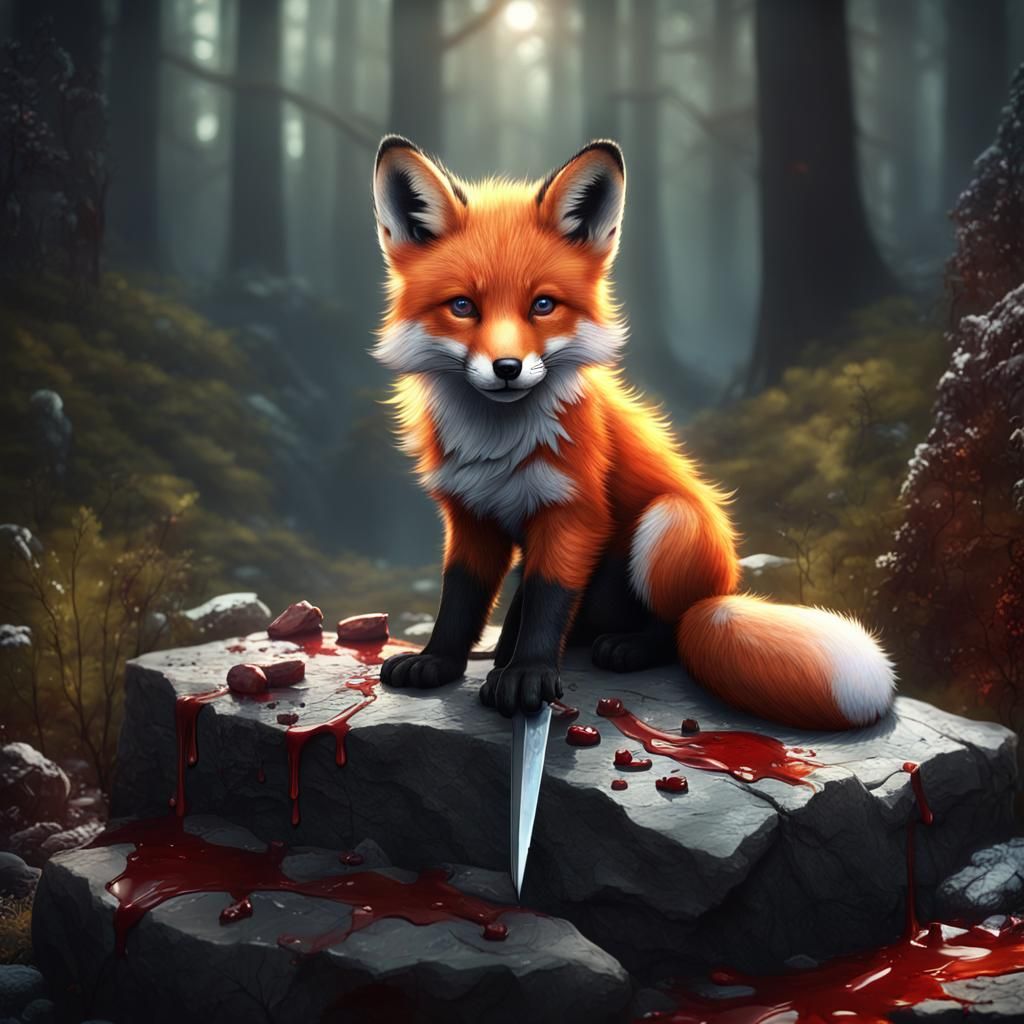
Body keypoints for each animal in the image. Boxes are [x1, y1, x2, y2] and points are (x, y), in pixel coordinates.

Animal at [371, 135, 896, 730]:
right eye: (463, 306)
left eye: (543, 305)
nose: (507, 368)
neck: (497, 447)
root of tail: (720, 592)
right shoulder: (471, 515)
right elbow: (460, 599)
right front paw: (439, 661)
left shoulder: (574, 512)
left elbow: (547, 600)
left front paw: (527, 675)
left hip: (667, 524)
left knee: (672, 628)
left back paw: (629, 647)